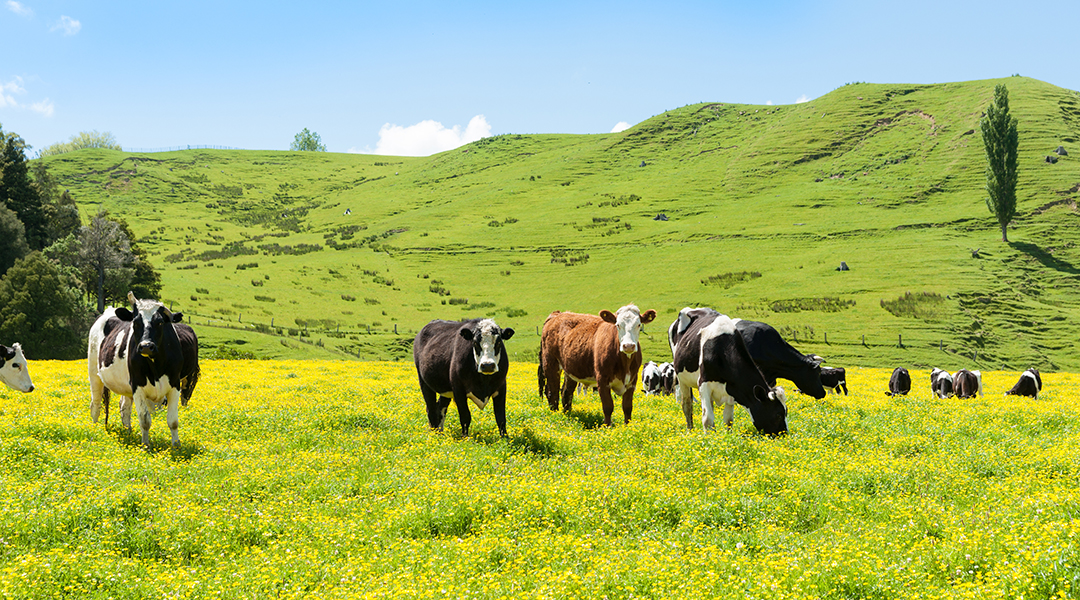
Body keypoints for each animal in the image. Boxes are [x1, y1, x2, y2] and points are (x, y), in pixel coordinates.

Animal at [88, 293, 200, 449]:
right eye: (135, 322)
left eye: (160, 322)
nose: (146, 346)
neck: (156, 367)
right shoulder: (137, 385)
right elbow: (145, 420)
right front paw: (146, 445)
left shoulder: (175, 385)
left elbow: (173, 420)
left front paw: (176, 445)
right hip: (94, 374)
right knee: (96, 404)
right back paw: (95, 428)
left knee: (124, 407)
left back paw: (128, 431)